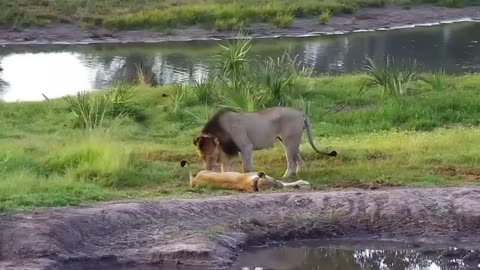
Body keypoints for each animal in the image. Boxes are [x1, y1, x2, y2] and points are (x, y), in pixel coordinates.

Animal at [192, 106, 338, 178]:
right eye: (201, 157)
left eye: (211, 157)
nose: (207, 171)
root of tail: (300, 112)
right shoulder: (229, 150)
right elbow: (226, 168)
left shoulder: (245, 146)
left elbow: (246, 167)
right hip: (291, 141)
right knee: (298, 157)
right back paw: (300, 173)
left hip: (289, 141)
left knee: (291, 161)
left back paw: (286, 176)